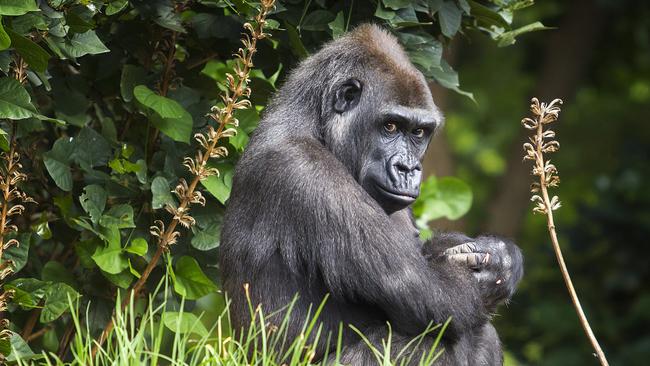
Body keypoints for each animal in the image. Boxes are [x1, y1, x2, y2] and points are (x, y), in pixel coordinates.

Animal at [220, 24, 524, 364]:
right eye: (390, 126)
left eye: (419, 132)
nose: (408, 168)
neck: (313, 122)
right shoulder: (304, 171)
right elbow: (437, 297)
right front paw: (492, 268)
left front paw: (503, 257)